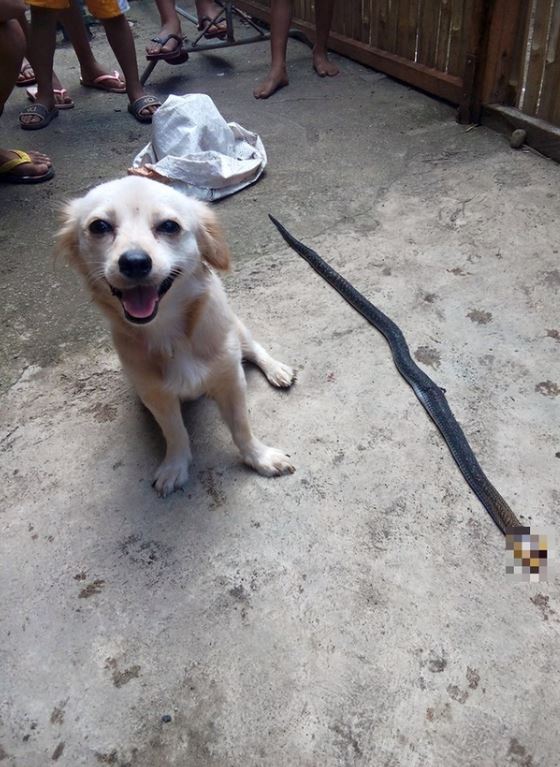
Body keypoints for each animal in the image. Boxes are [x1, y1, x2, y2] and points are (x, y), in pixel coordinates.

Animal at [58, 176, 296, 496]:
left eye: (169, 226)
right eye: (100, 226)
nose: (134, 262)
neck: (170, 333)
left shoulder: (231, 381)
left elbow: (241, 427)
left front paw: (259, 457)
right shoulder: (157, 396)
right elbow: (175, 433)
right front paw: (176, 466)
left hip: (237, 329)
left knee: (254, 348)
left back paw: (276, 370)